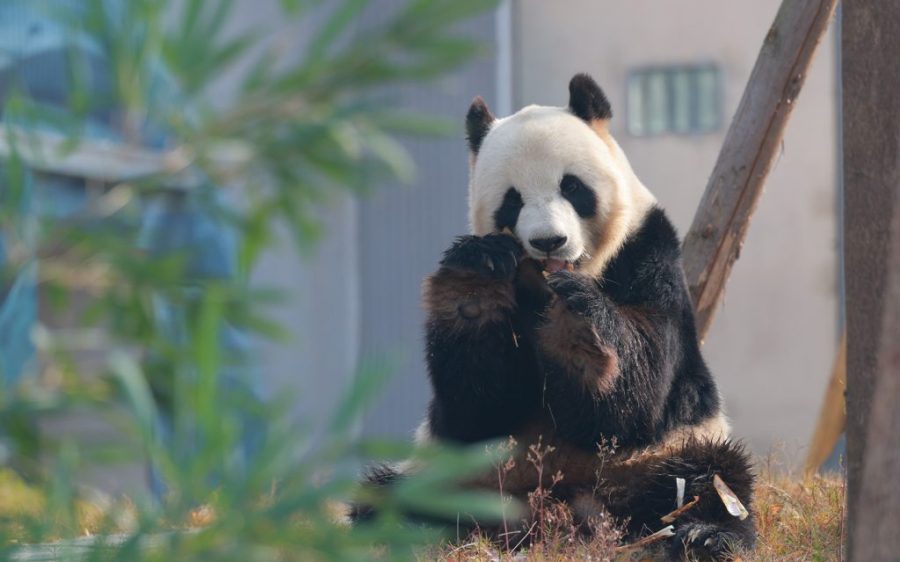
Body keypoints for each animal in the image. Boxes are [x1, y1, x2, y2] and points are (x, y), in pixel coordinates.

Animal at [354, 74, 755, 561]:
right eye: (512, 200)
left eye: (573, 187)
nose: (549, 241)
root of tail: (552, 511)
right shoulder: (469, 426)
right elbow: (478, 409)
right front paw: (474, 288)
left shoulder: (649, 253)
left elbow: (638, 394)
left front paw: (580, 332)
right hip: (458, 473)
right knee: (389, 496)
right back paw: (402, 533)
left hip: (662, 455)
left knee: (710, 480)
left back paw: (705, 535)